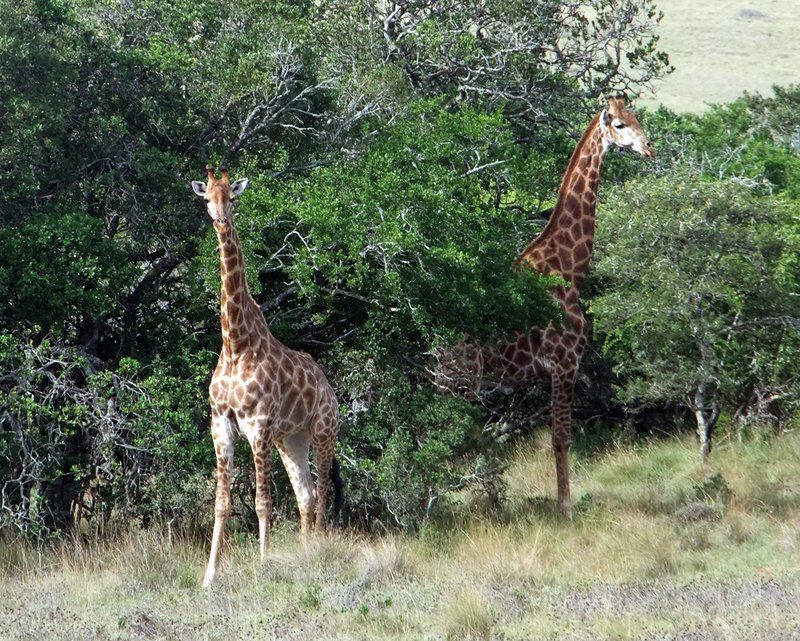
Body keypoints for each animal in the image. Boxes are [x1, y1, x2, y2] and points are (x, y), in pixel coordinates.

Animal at [195, 169, 344, 584]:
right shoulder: (221, 425)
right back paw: (306, 552)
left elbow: (263, 502)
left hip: (323, 431)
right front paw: (208, 577)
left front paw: (262, 567)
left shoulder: (258, 425)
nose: (221, 220)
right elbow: (221, 503)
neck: (235, 343)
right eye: (207, 198)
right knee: (307, 495)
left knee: (323, 490)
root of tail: (329, 387)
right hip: (291, 439)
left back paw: (318, 550)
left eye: (232, 197)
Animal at [438, 96, 648, 516]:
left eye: (636, 117)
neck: (569, 270)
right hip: (459, 381)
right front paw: (565, 507)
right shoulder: (565, 360)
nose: (649, 148)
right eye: (618, 124)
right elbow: (561, 437)